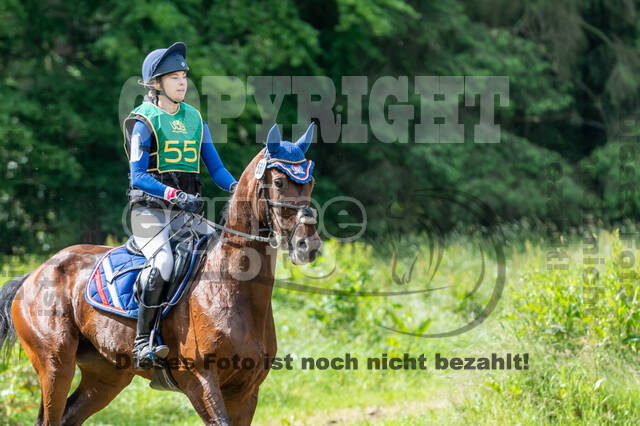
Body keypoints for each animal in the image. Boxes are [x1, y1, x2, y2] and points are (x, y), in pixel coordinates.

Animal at [0, 124, 322, 425]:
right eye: (278, 181)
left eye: (310, 183)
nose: (307, 245)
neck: (231, 289)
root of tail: (33, 275)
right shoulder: (201, 383)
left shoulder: (246, 391)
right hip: (55, 365)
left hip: (106, 376)